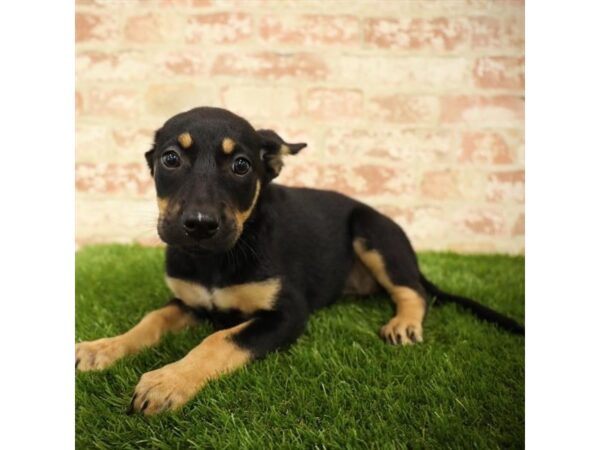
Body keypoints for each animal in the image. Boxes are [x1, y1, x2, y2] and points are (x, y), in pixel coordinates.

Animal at [76, 105, 524, 414]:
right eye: (170, 159)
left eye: (241, 166)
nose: (199, 225)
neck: (216, 259)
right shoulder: (189, 301)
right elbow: (151, 319)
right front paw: (101, 348)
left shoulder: (287, 313)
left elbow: (219, 340)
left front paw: (168, 382)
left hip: (374, 232)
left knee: (413, 291)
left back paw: (404, 324)